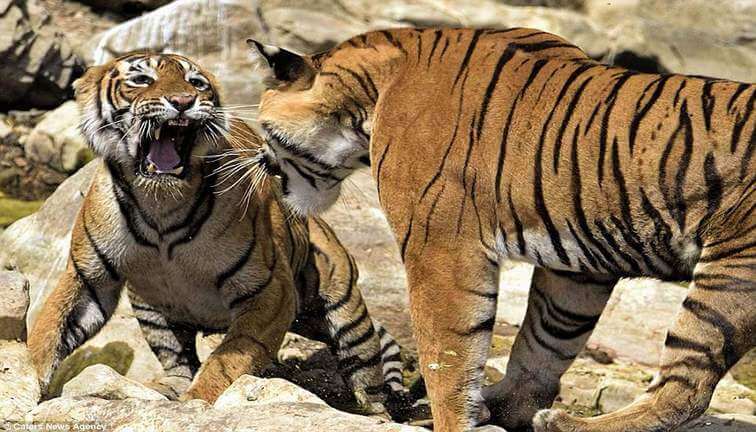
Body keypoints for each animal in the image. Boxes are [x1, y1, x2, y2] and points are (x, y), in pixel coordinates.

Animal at [26, 50, 408, 412]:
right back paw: (169, 386)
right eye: (141, 79)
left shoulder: (270, 291)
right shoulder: (87, 278)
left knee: (367, 377)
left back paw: (375, 410)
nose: (183, 101)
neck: (160, 203)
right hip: (153, 309)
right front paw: (28, 380)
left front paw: (198, 401)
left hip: (343, 314)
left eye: (196, 83)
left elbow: (229, 361)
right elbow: (48, 331)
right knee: (177, 358)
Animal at [244, 29, 756, 432]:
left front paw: (454, 418)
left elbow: (447, 351)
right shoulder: (580, 261)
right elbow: (544, 341)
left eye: (265, 130)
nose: (261, 163)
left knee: (686, 390)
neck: (368, 98)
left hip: (731, 276)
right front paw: (498, 407)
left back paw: (568, 424)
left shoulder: (440, 244)